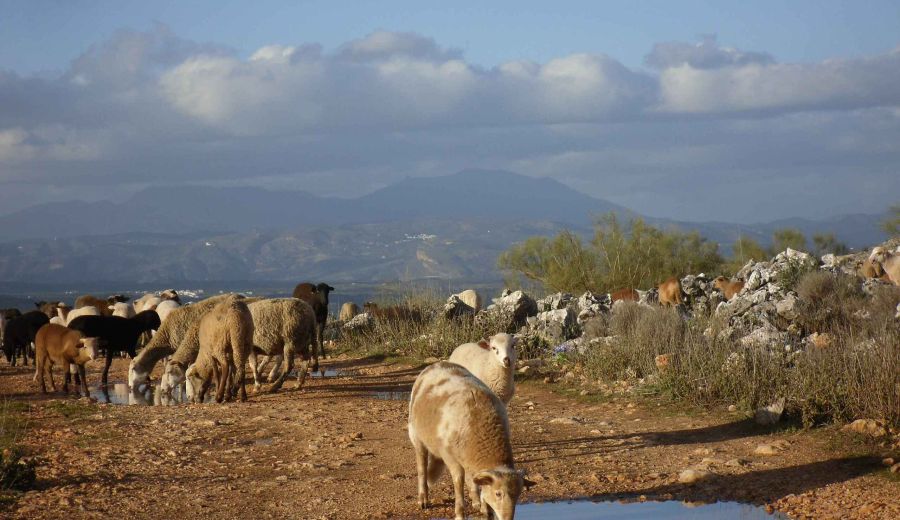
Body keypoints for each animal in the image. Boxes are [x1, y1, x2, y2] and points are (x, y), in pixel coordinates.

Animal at [408, 361, 533, 520]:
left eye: (518, 495)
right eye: (498, 493)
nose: (507, 519)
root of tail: (439, 363)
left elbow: (479, 484)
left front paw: (485, 509)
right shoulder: (450, 457)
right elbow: (458, 482)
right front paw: (460, 513)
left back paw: (475, 501)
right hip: (416, 437)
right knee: (422, 469)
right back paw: (423, 499)